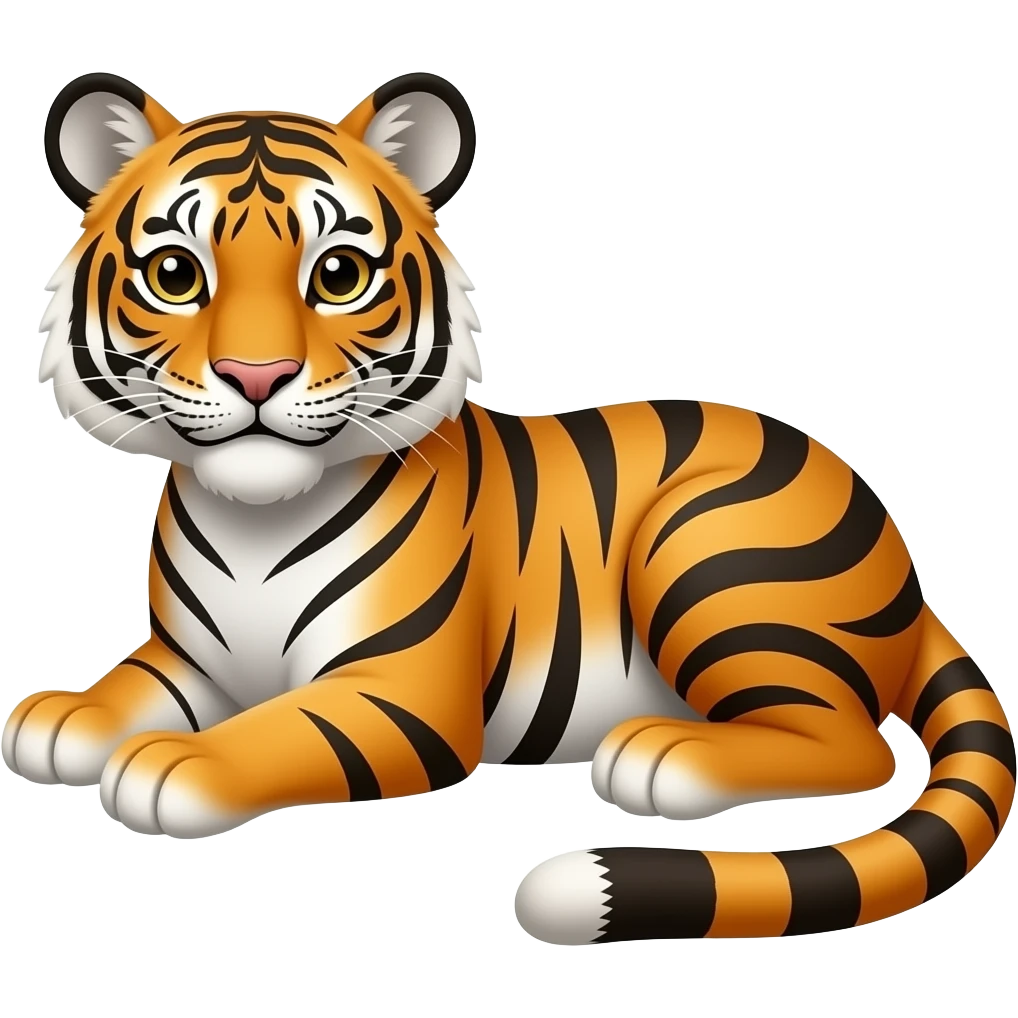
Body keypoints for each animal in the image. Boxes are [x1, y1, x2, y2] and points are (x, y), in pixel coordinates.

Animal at [8, 69, 1013, 946]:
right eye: (177, 274)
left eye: (338, 275)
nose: (257, 376)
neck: (252, 515)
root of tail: (906, 567)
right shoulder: (194, 661)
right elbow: (134, 685)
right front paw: (61, 719)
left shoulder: (398, 695)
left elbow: (274, 728)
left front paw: (175, 762)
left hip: (704, 550)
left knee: (855, 744)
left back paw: (664, 755)